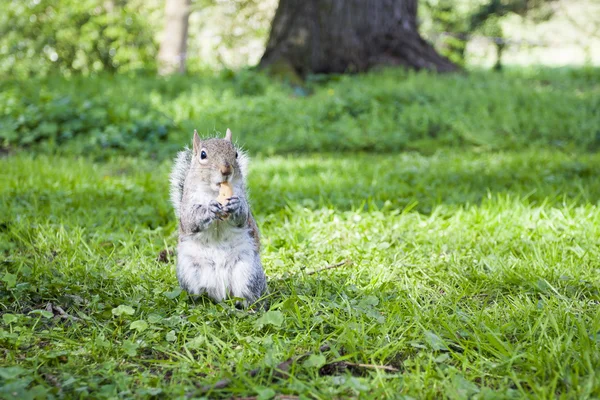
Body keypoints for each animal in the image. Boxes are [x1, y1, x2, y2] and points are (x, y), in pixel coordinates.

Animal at [166, 128, 264, 306]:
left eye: (235, 154)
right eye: (203, 155)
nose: (226, 170)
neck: (214, 192)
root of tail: (220, 292)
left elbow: (243, 216)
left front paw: (235, 206)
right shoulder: (187, 205)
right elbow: (190, 219)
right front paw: (208, 209)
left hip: (248, 273)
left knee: (248, 296)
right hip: (189, 273)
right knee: (198, 295)